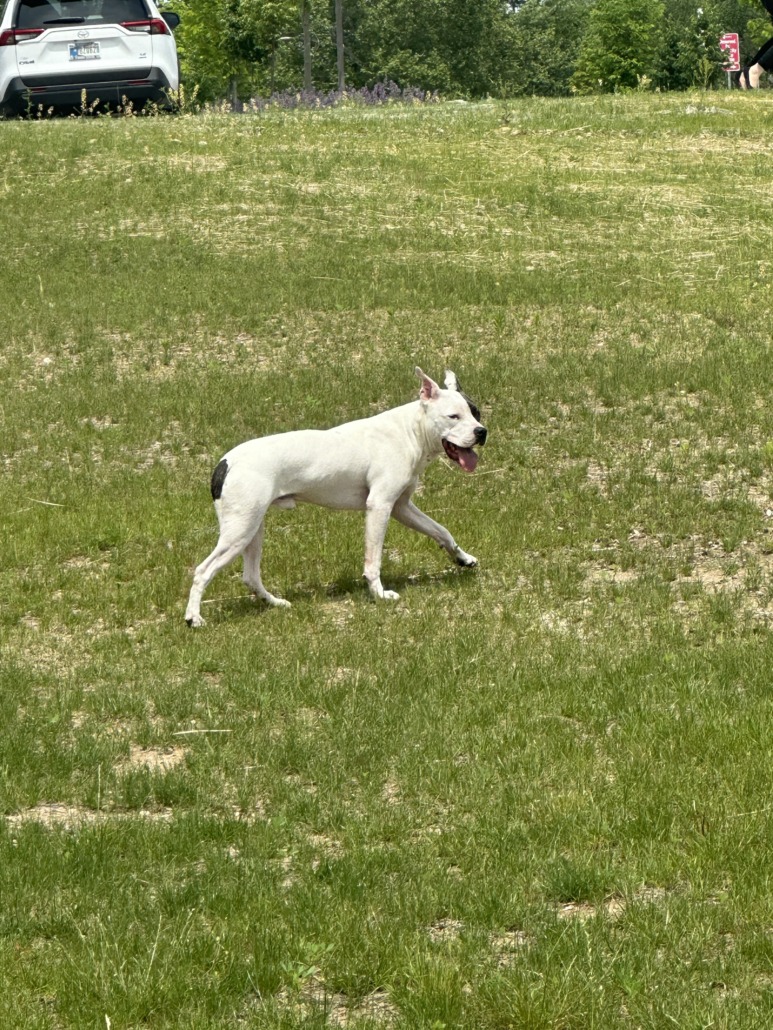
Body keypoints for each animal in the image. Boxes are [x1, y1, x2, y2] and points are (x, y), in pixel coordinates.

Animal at [184, 367, 487, 626]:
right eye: (453, 416)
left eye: (476, 413)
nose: (481, 432)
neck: (409, 430)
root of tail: (224, 463)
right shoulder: (380, 506)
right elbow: (373, 560)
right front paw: (379, 594)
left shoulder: (402, 507)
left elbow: (441, 531)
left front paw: (463, 558)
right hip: (239, 531)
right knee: (203, 571)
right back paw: (193, 618)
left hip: (252, 530)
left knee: (250, 576)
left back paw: (275, 603)